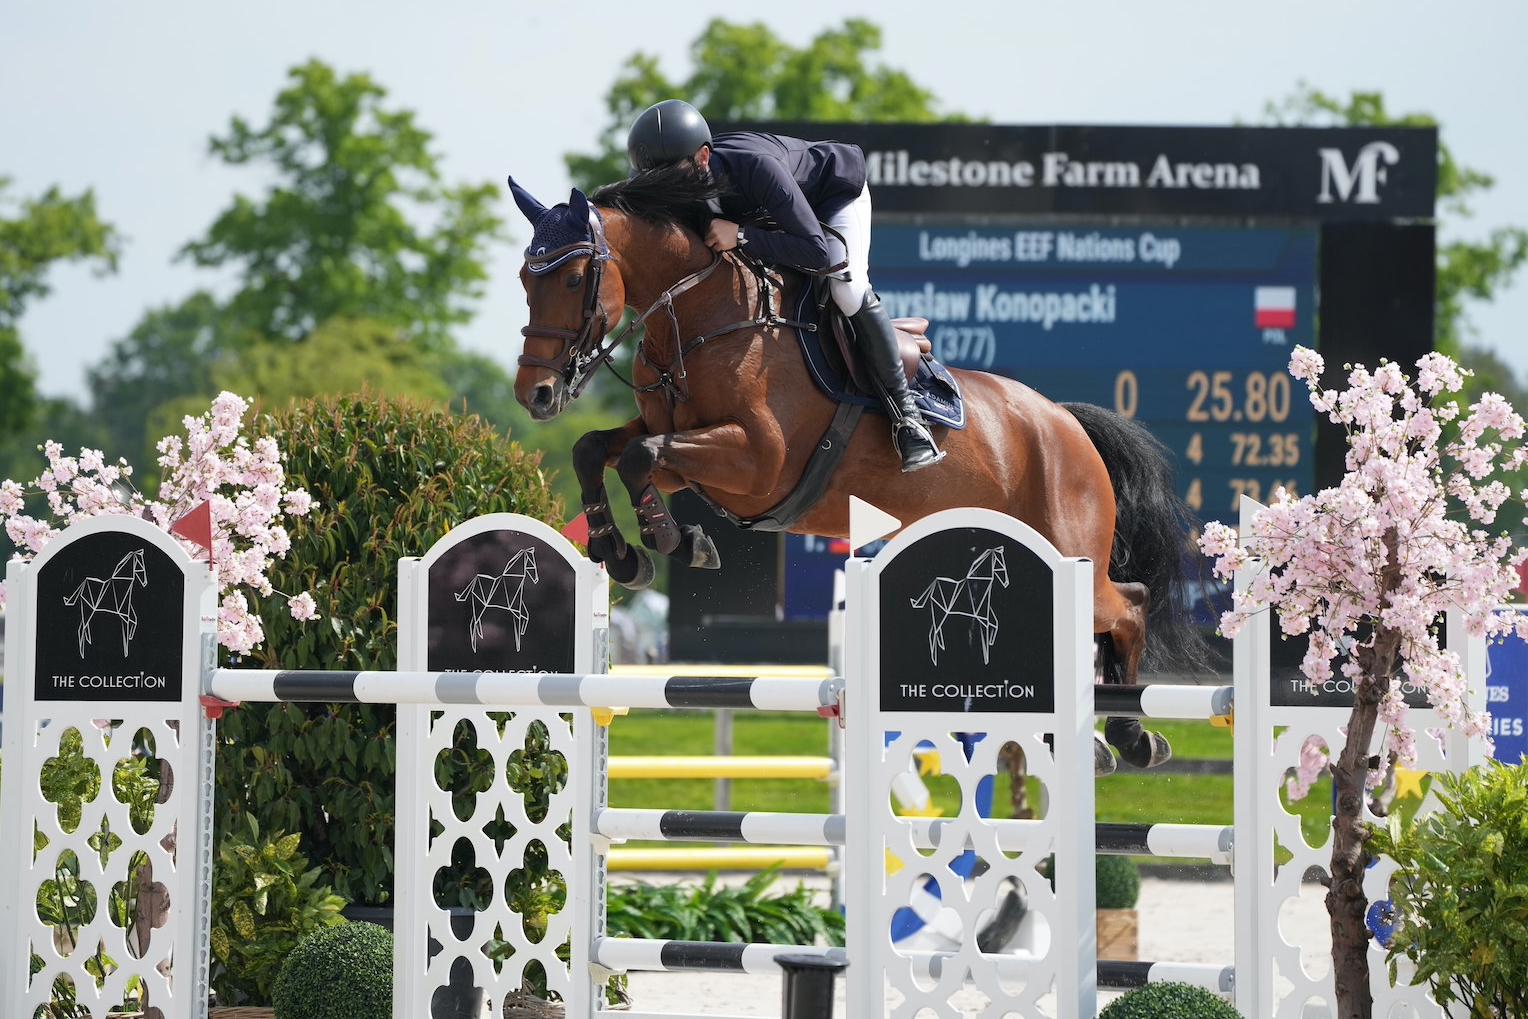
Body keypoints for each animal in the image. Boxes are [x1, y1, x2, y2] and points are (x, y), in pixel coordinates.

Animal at [507, 171, 1210, 769]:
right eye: (524, 278)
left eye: (572, 279)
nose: (534, 395)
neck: (705, 316)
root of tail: (1065, 421)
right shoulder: (684, 449)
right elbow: (599, 450)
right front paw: (621, 551)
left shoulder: (755, 461)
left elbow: (640, 456)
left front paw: (673, 540)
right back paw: (1093, 742)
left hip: (1068, 548)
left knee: (1129, 606)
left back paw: (1131, 737)